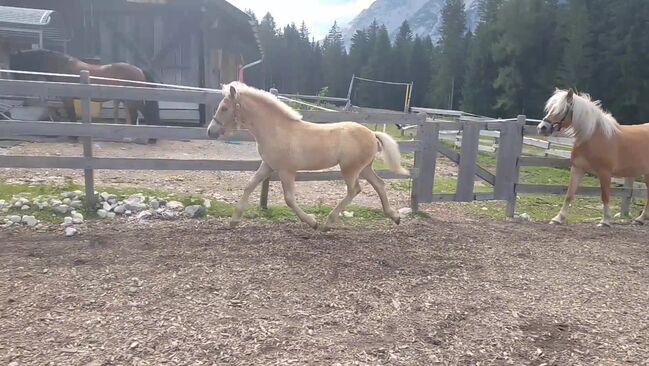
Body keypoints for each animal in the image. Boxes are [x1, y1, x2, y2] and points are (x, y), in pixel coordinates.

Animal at [9, 49, 158, 125]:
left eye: (17, 63)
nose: (14, 80)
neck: (62, 67)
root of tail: (139, 69)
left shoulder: (67, 98)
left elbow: (71, 115)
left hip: (133, 100)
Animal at [208, 83, 410, 232]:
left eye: (224, 108)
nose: (210, 131)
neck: (276, 130)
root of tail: (372, 133)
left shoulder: (286, 171)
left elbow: (289, 199)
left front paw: (313, 222)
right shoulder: (268, 165)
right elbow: (249, 186)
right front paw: (233, 221)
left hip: (350, 169)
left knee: (354, 190)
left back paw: (328, 223)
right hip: (365, 168)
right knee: (379, 184)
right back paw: (395, 216)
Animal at [536, 88, 648, 226]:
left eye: (562, 110)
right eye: (551, 108)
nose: (542, 128)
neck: (593, 136)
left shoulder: (605, 173)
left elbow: (605, 196)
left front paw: (605, 221)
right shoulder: (577, 169)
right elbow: (569, 194)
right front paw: (558, 218)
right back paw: (640, 219)